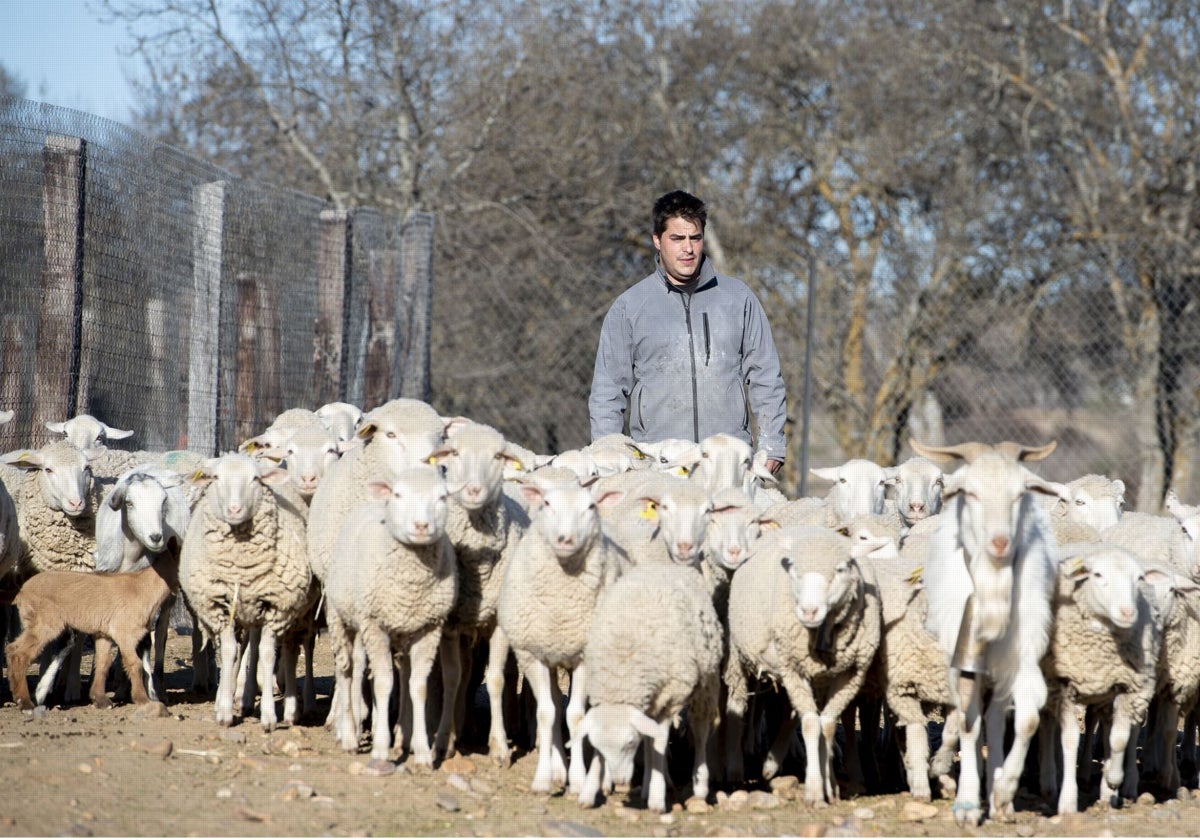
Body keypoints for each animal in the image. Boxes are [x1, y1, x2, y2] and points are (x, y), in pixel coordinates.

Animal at [178, 453, 314, 729]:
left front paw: (269, 717)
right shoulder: (220, 607)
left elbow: (267, 654)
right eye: (216, 478)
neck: (241, 564)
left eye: (255, 479)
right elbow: (229, 652)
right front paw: (224, 711)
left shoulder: (275, 607)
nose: (234, 510)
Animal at [496, 472, 628, 792]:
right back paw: (558, 768)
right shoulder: (533, 655)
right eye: (546, 504)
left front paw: (580, 780)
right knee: (554, 704)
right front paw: (544, 778)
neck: (561, 610)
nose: (565, 539)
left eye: (591, 507)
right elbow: (547, 713)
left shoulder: (584, 657)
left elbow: (576, 716)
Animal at [573, 556, 720, 816]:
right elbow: (645, 745)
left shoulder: (671, 698)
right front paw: (589, 792)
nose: (620, 781)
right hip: (653, 701)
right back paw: (647, 784)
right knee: (651, 740)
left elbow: (660, 742)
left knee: (700, 730)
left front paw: (658, 799)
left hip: (705, 683)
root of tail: (663, 565)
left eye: (630, 743)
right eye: (596, 746)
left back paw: (700, 785)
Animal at [720, 525, 883, 801]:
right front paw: (815, 790)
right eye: (794, 569)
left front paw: (831, 786)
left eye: (841, 569)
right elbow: (809, 724)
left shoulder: (848, 675)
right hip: (740, 653)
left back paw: (771, 764)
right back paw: (734, 768)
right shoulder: (794, 667)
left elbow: (826, 725)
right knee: (737, 704)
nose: (808, 611)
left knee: (789, 714)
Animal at [907, 439, 1070, 825]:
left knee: (996, 721)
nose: (1000, 543)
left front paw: (1004, 790)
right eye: (970, 492)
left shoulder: (1022, 655)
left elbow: (1026, 720)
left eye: (1020, 493)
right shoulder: (963, 655)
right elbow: (967, 722)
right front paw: (967, 803)